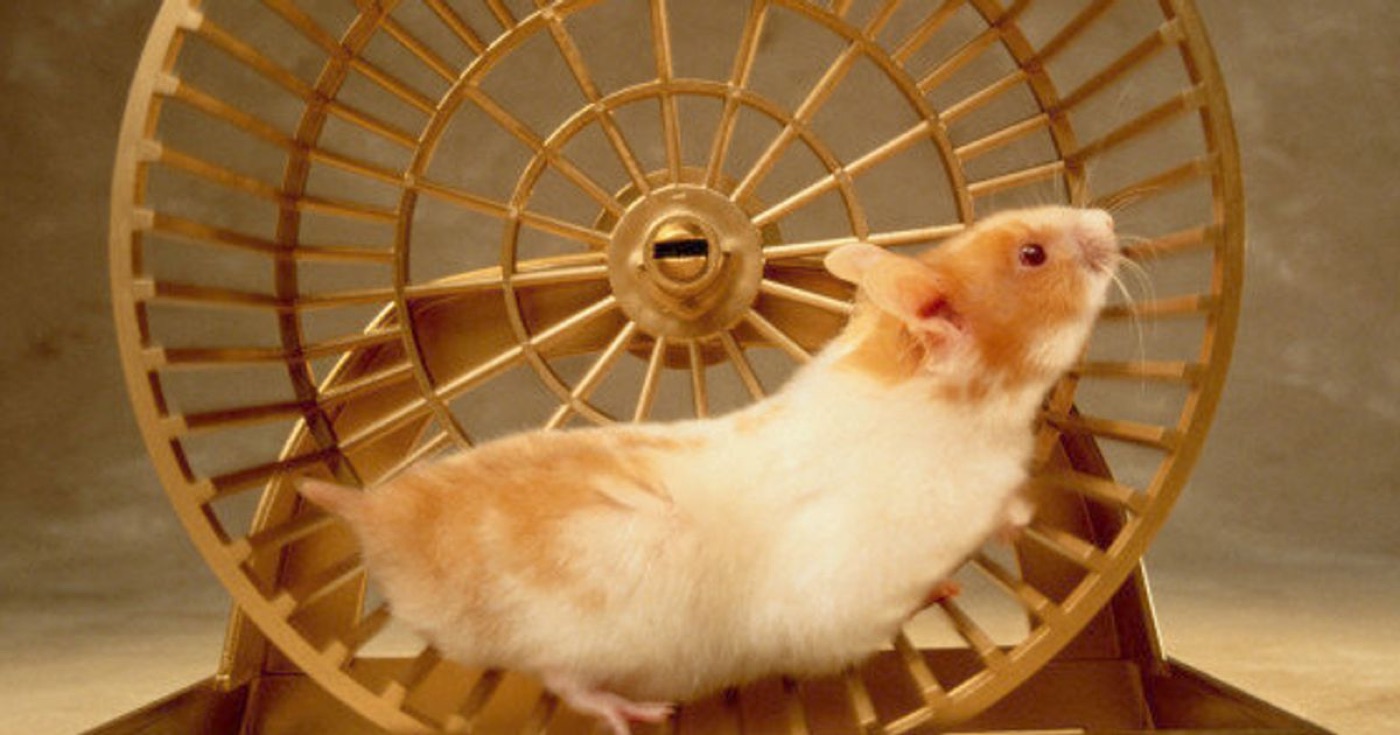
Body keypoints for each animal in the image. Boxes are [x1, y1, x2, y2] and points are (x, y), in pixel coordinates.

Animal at [299, 205, 1121, 735]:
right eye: (1033, 255)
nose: (1110, 218)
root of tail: (376, 513)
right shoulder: (866, 585)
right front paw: (974, 558)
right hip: (568, 639)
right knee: (564, 680)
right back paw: (636, 712)